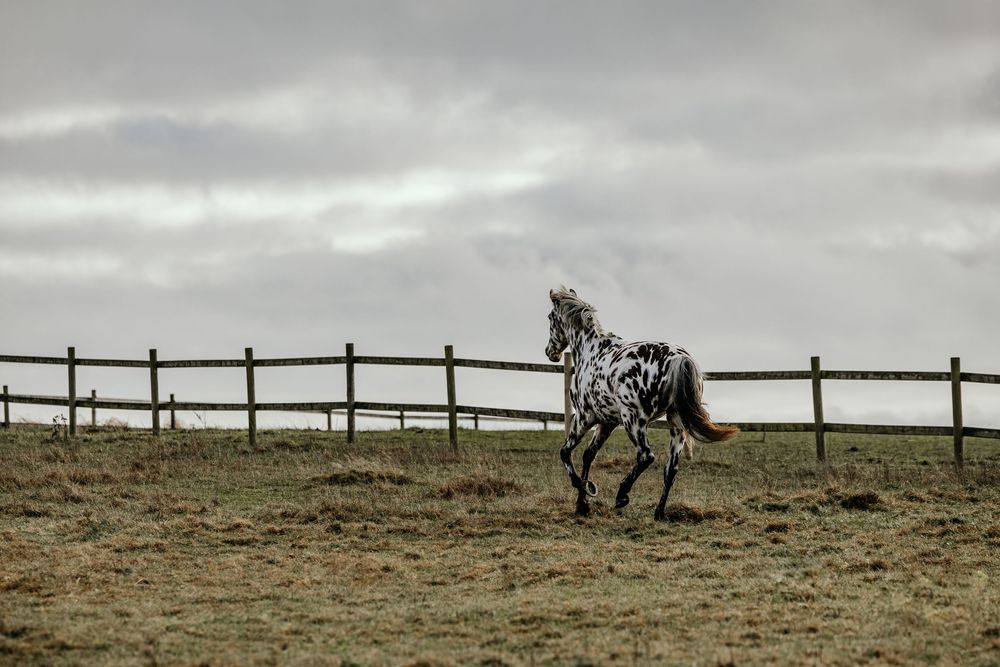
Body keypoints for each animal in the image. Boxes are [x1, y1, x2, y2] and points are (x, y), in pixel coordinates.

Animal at [545, 287, 738, 520]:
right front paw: (582, 503)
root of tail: (679, 358)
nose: (550, 352)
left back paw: (622, 496)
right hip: (676, 424)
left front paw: (584, 490)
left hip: (634, 421)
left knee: (646, 456)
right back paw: (659, 513)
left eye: (550, 318)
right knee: (670, 470)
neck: (589, 351)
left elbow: (565, 452)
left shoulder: (584, 417)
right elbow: (588, 454)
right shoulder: (607, 422)